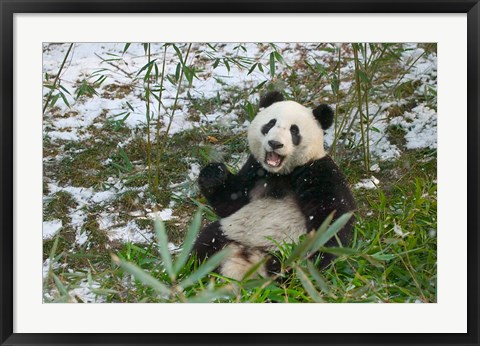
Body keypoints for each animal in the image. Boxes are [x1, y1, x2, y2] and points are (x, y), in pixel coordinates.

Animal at [192, 90, 356, 280]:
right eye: (270, 124)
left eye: (294, 131)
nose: (275, 143)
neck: (281, 173)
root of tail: (245, 258)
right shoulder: (255, 169)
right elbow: (231, 202)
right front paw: (213, 174)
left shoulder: (318, 171)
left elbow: (333, 216)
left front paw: (319, 253)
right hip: (229, 232)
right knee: (203, 245)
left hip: (285, 251)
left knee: (287, 270)